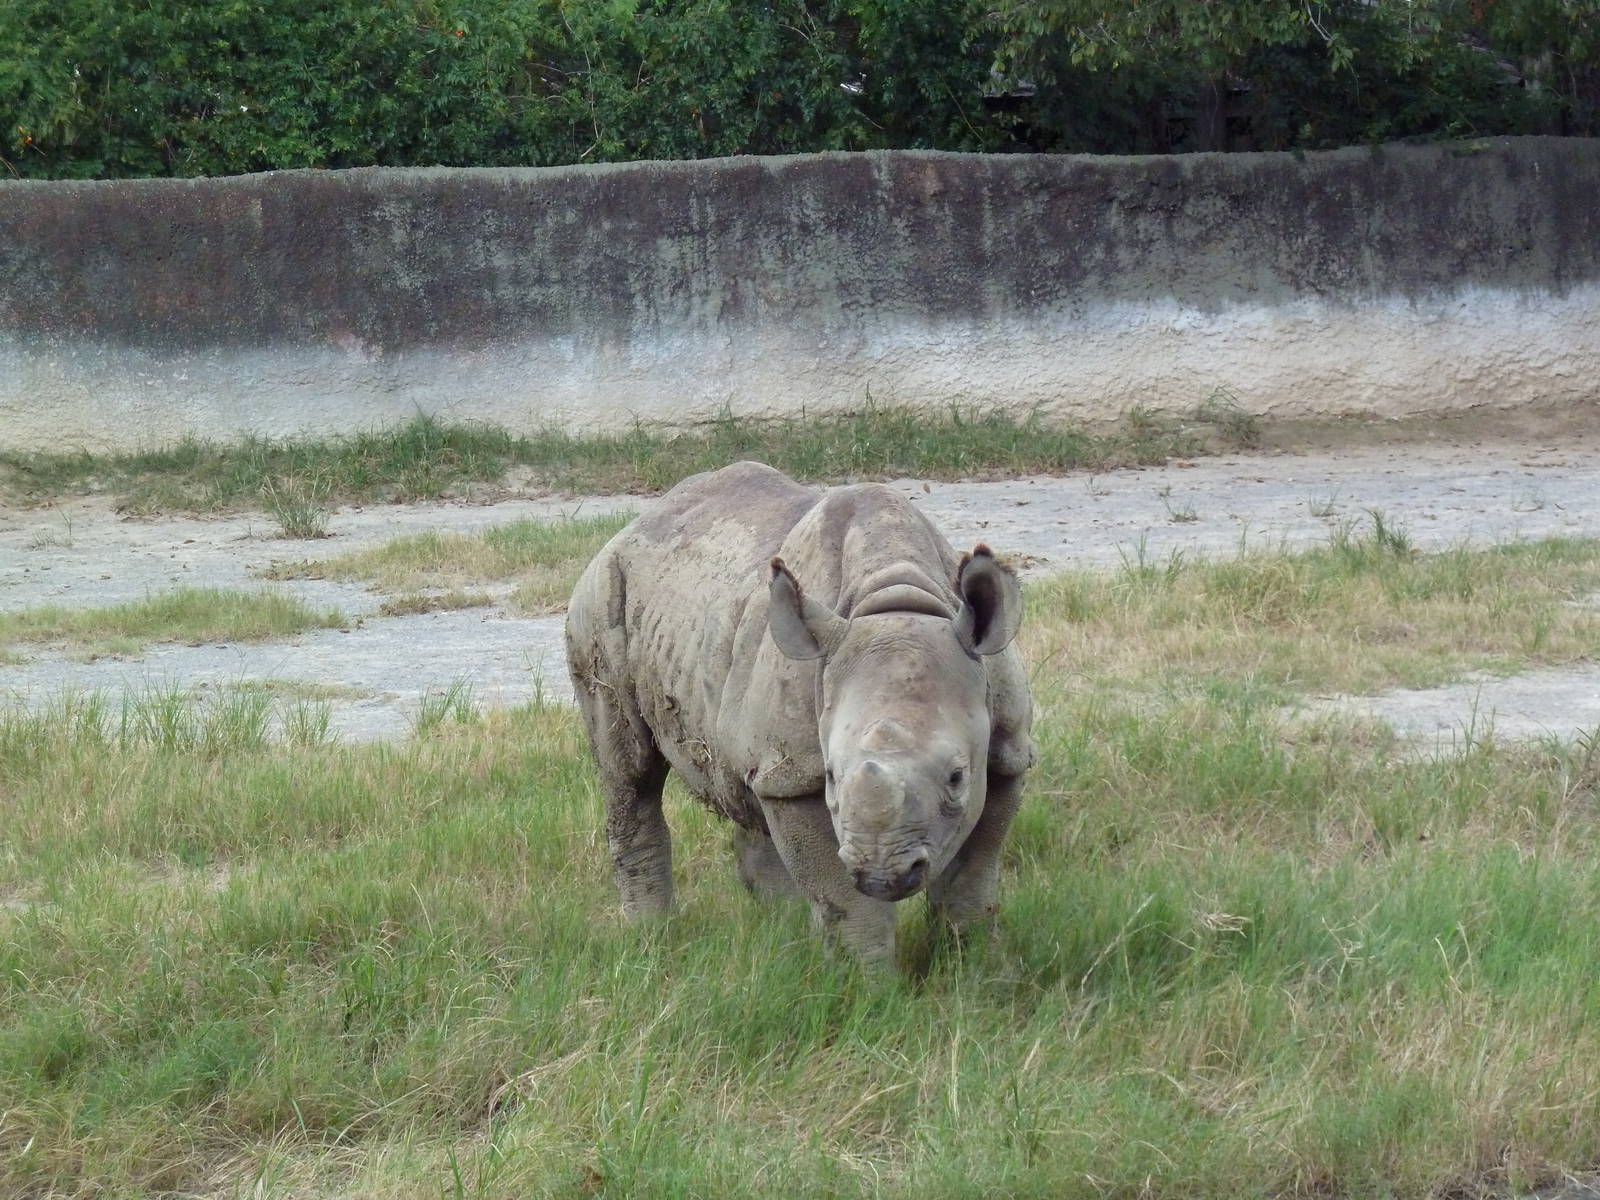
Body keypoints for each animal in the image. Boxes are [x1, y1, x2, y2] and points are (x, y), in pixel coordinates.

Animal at [564, 461, 1034, 965]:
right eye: (830, 776)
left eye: (956, 777)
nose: (882, 875)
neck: (897, 600)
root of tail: (633, 525)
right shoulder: (799, 774)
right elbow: (845, 901)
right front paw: (867, 980)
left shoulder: (1007, 751)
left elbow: (971, 877)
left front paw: (977, 964)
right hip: (600, 597)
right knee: (630, 773)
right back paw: (651, 937)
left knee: (747, 781)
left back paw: (783, 934)